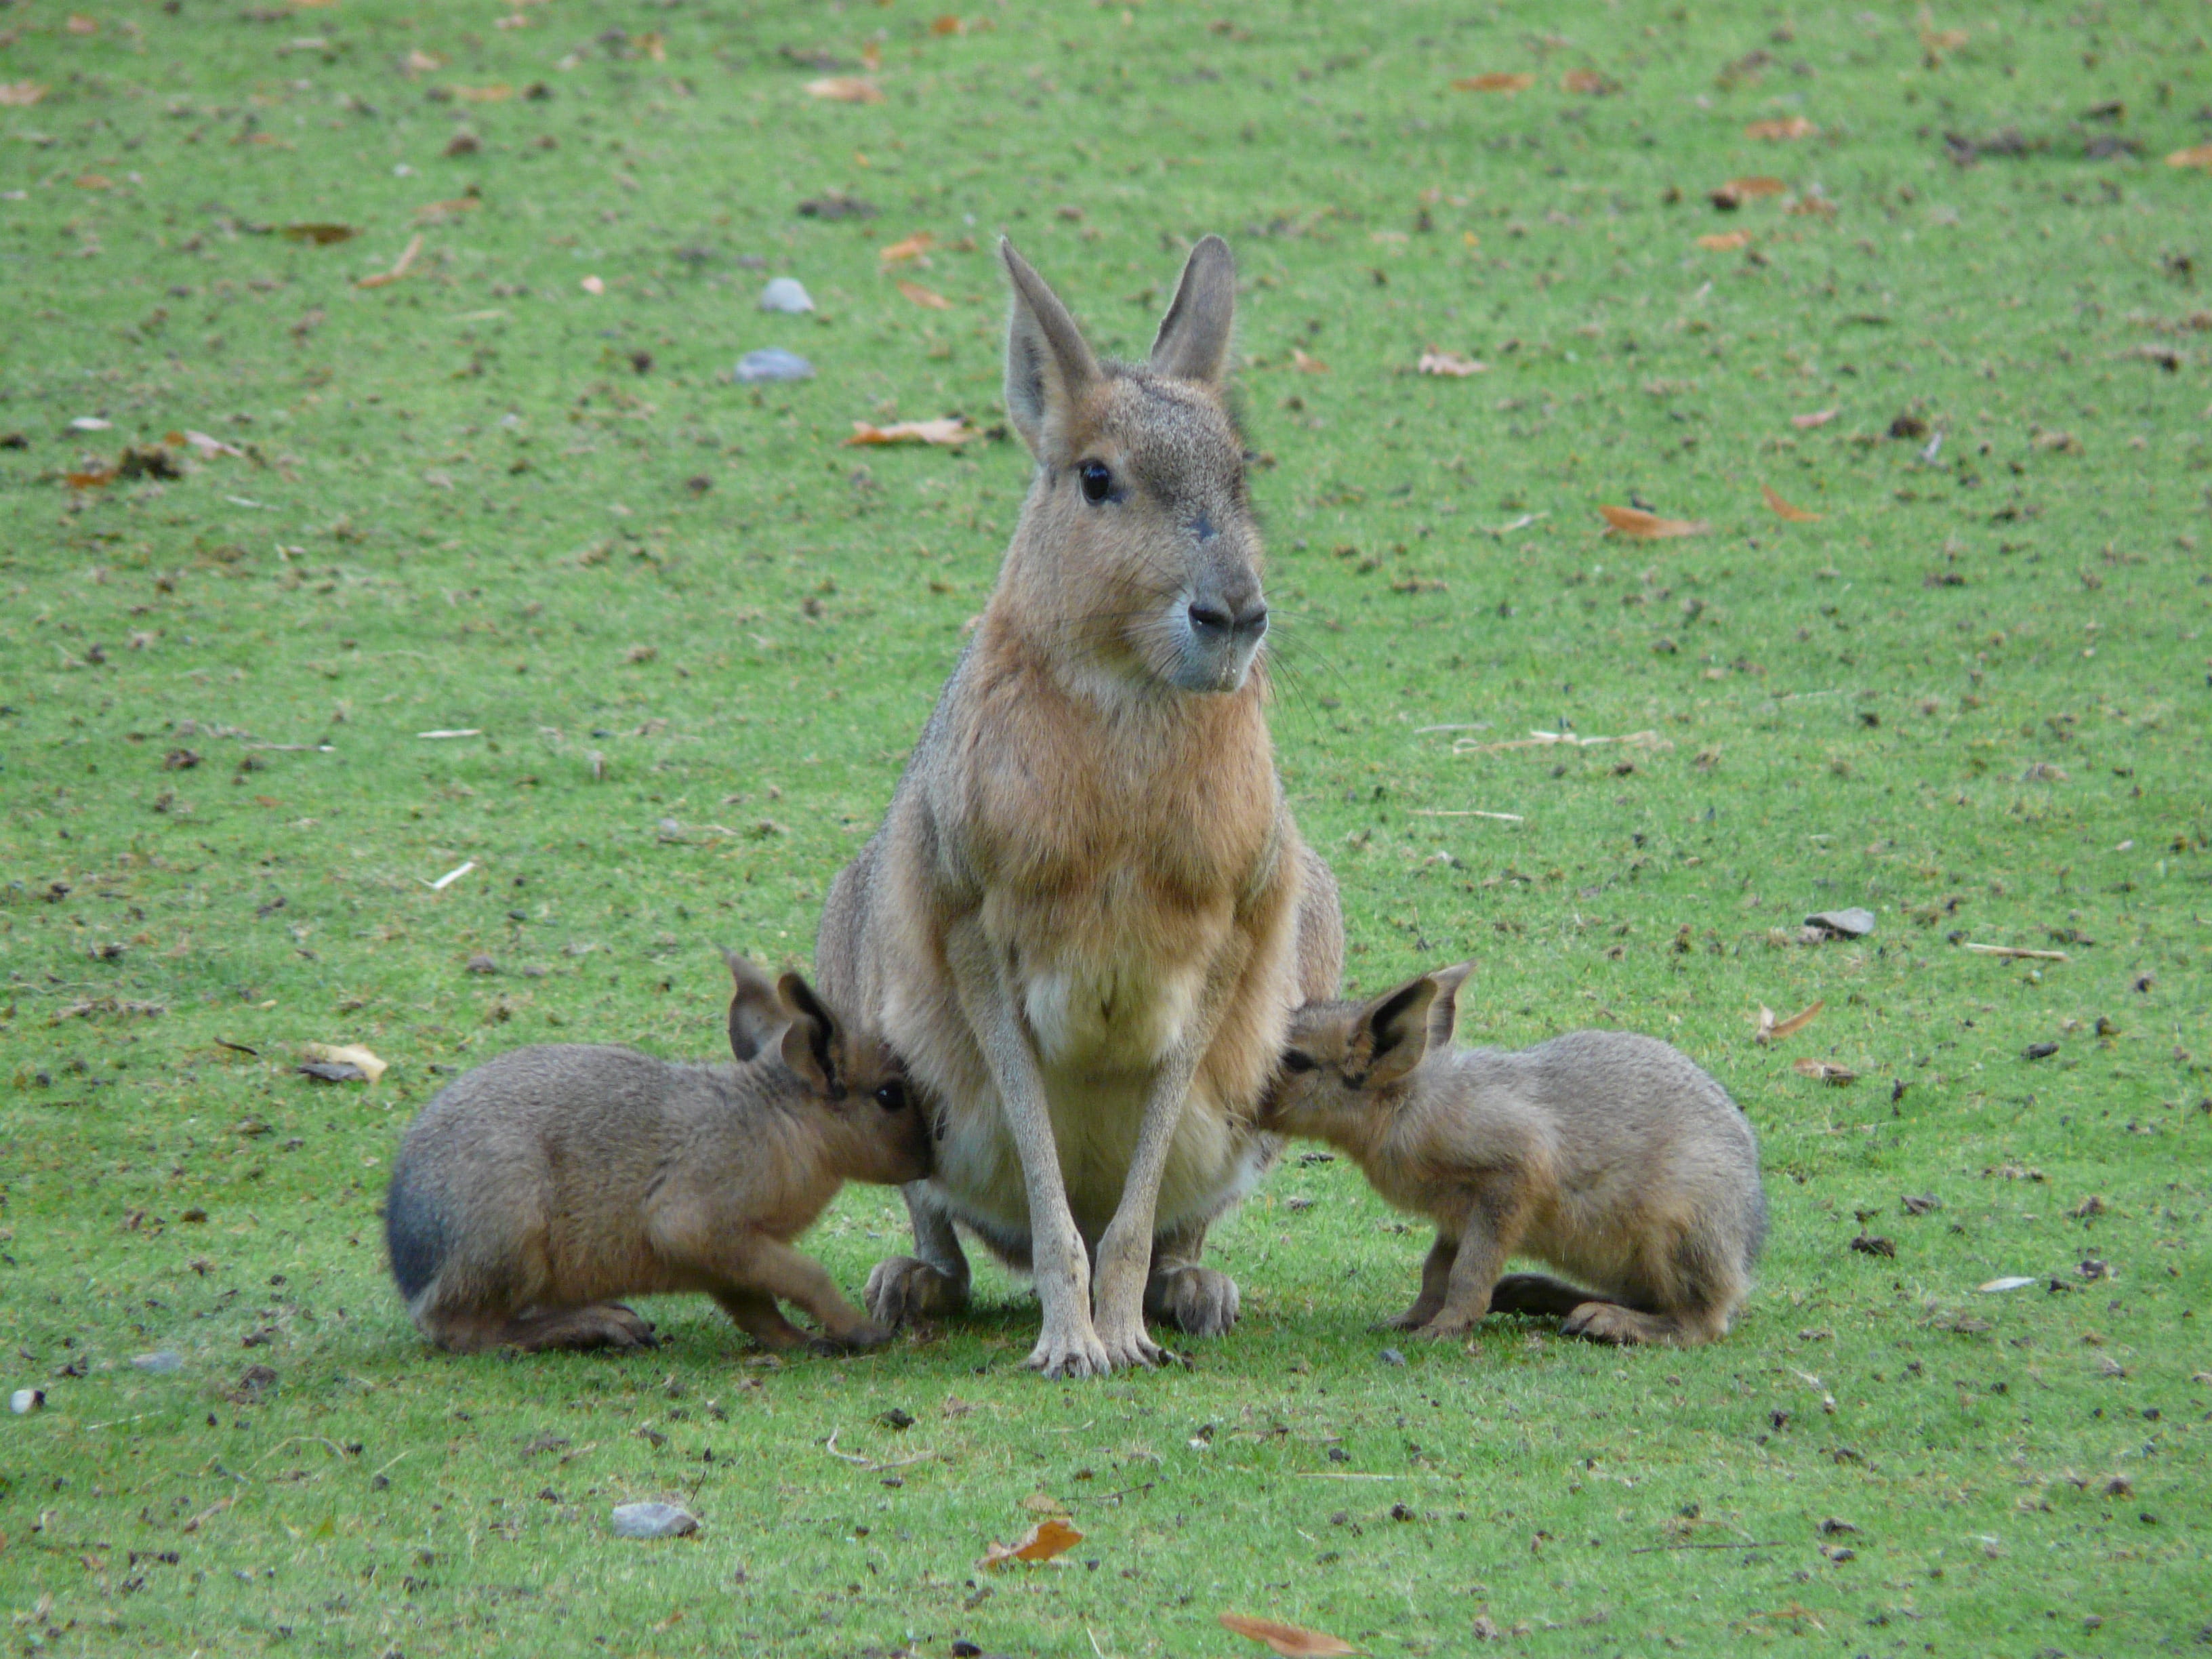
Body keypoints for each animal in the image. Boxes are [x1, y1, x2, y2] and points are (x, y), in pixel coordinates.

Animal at [384, 954, 930, 1356]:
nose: (931, 1159)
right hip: (509, 1233)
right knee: (465, 1331)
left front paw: (800, 1341)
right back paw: (594, 1325)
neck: (779, 1125)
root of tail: (411, 1276)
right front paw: (860, 1330)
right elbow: (807, 1276)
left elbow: (757, 1309)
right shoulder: (695, 1216)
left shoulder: (729, 1258)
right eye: (890, 1095)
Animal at [814, 233, 1344, 1377]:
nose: (1233, 617)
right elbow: (1043, 1169)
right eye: (1097, 478)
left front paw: (1125, 1328)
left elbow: (1138, 1202)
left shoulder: (1234, 932)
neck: (1129, 706)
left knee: (1179, 1220)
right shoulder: (974, 922)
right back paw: (912, 1285)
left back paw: (1196, 1291)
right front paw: (1071, 1342)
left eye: (1242, 471)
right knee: (943, 1219)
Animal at [1258, 965, 1766, 1346]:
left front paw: (1445, 1328)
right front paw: (1410, 1319)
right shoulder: (1455, 1215)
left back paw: (1603, 1320)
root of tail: (1744, 1253)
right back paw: (1537, 1294)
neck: (1406, 1107)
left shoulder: (1512, 1174)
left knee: (1700, 1321)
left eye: (1296, 1060)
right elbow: (1435, 1271)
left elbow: (1468, 1271)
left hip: (1678, 1238)